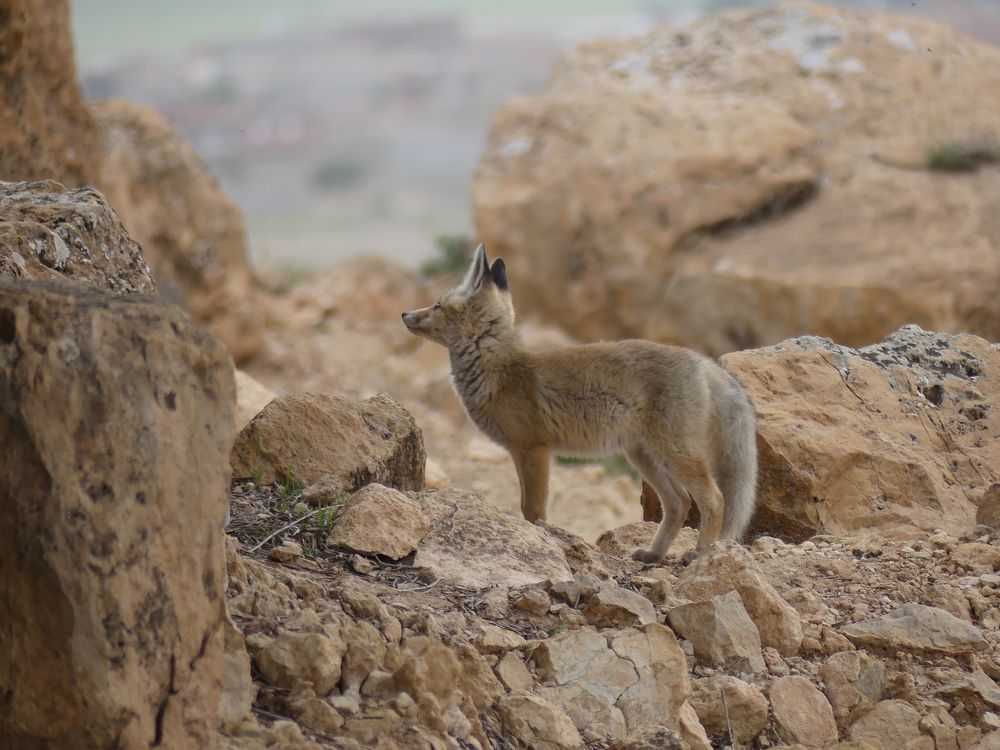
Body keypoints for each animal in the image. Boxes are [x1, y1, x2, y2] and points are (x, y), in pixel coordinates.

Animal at [401, 244, 757, 562]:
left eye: (437, 305)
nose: (405, 313)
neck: (501, 370)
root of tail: (702, 361)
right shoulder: (523, 451)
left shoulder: (533, 449)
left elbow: (532, 510)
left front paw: (536, 539)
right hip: (644, 456)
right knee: (679, 504)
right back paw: (654, 554)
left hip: (675, 453)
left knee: (714, 500)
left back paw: (700, 554)